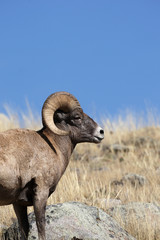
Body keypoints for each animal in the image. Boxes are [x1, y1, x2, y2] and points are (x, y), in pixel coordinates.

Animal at [0, 91, 104, 238]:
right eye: (77, 117)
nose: (101, 132)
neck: (53, 146)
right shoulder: (41, 194)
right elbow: (41, 226)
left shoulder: (18, 203)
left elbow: (24, 229)